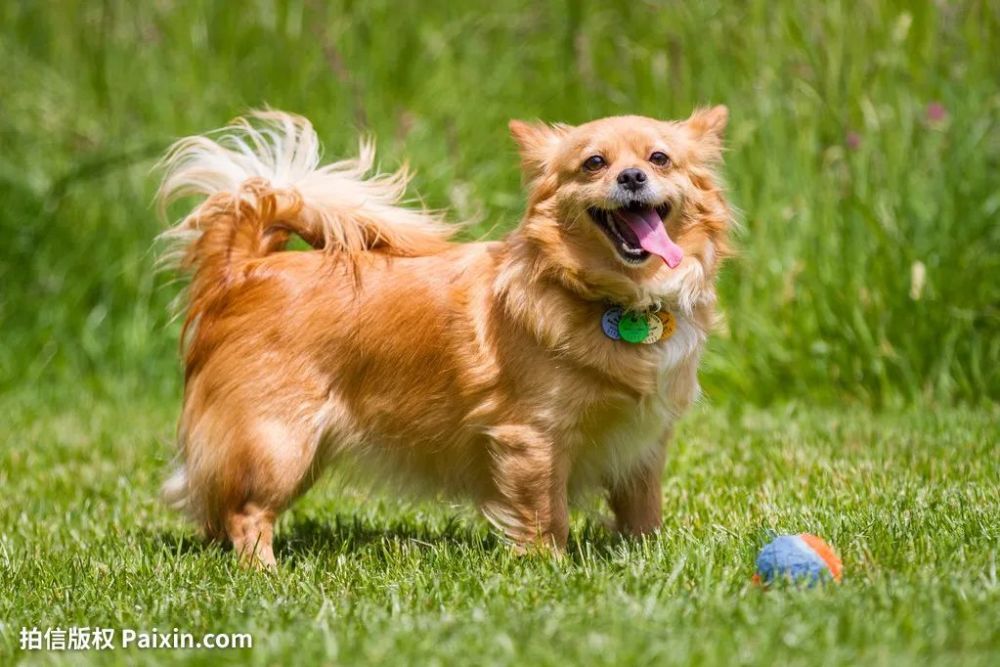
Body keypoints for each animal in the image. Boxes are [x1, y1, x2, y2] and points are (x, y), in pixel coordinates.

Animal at [158, 107, 736, 568]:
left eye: (660, 159)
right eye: (594, 163)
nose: (633, 176)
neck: (617, 297)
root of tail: (244, 268)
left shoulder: (641, 445)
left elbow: (643, 513)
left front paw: (648, 556)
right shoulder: (534, 440)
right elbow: (545, 515)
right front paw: (548, 570)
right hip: (278, 444)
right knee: (247, 513)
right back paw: (265, 574)